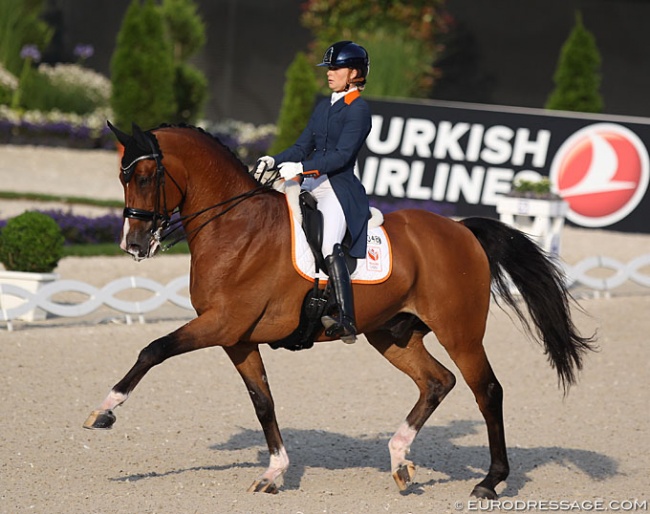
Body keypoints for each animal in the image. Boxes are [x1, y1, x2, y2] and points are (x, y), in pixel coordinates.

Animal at [82, 122, 592, 498]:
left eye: (145, 177)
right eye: (123, 178)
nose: (132, 245)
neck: (236, 227)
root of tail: (461, 230)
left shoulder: (220, 325)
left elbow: (153, 349)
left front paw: (104, 411)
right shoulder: (236, 338)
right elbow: (263, 401)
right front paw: (275, 472)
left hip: (460, 332)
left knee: (487, 390)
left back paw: (490, 481)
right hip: (391, 334)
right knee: (437, 382)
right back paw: (399, 459)